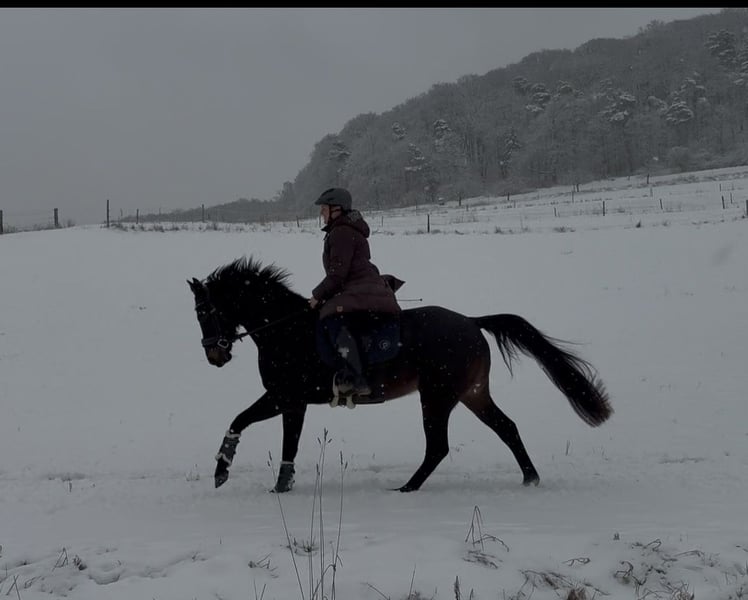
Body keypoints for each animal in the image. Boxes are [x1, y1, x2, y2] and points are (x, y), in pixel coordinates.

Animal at [188, 256, 613, 493]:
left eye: (205, 311)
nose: (213, 354)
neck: (285, 329)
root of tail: (472, 322)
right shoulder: (291, 402)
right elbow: (272, 436)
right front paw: (270, 482)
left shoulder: (285, 397)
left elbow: (249, 425)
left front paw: (229, 473)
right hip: (472, 393)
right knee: (506, 427)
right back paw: (529, 479)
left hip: (437, 396)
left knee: (438, 446)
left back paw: (408, 487)